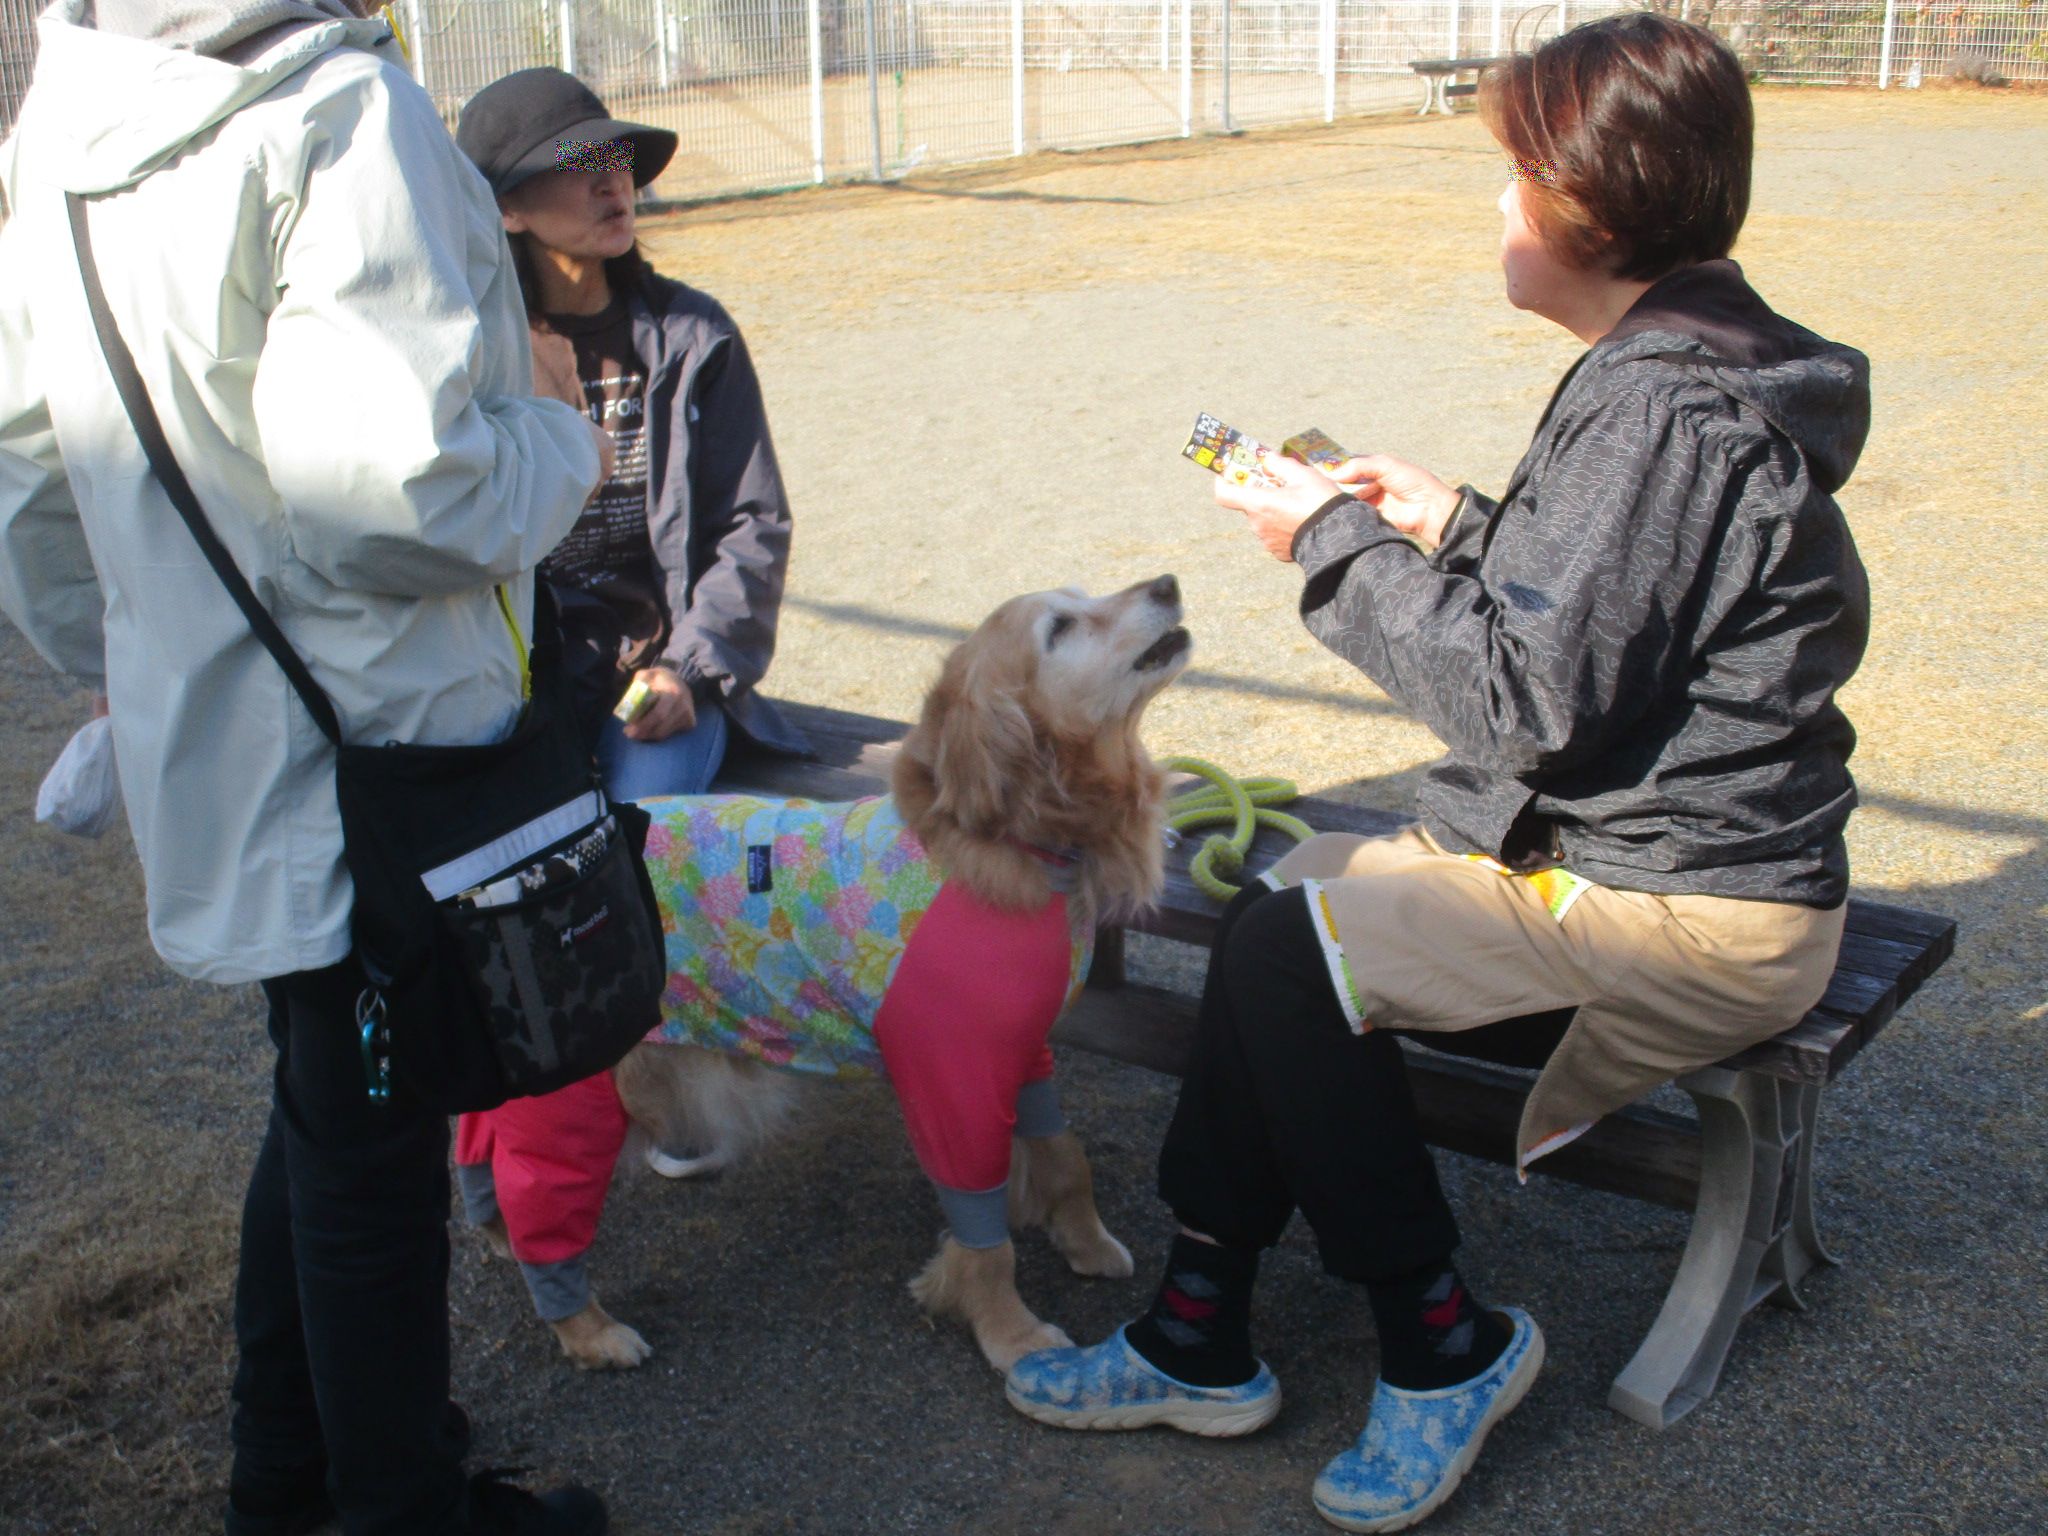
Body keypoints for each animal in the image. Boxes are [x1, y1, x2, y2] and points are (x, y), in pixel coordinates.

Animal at [457, 574, 1189, 1372]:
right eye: (1060, 628)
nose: (1166, 583)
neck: (1009, 846)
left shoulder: (1022, 1048)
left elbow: (1064, 1155)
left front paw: (1087, 1243)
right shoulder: (952, 1080)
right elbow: (984, 1236)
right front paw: (1011, 1335)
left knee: (482, 1154)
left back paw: (495, 1234)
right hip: (576, 1098)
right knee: (541, 1208)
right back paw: (587, 1327)